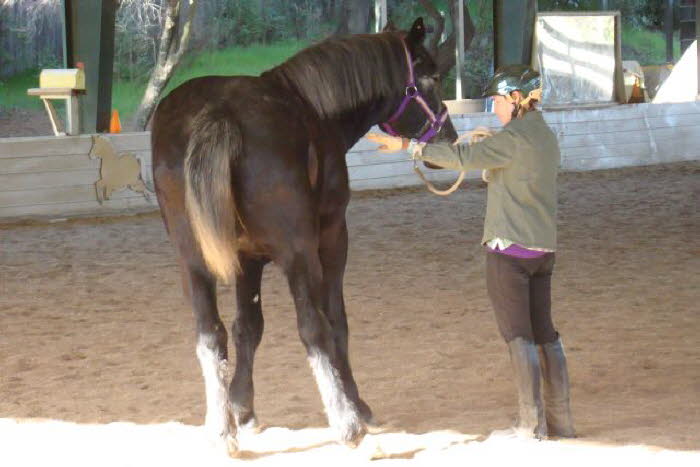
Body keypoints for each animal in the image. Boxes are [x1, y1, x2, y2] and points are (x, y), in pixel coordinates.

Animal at [150, 18, 456, 458]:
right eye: (431, 76)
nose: (448, 138)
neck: (313, 106)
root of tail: (219, 113)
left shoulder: (246, 259)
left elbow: (248, 327)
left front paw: (243, 408)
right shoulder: (331, 239)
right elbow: (335, 322)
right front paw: (358, 405)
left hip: (192, 261)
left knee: (210, 335)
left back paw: (222, 429)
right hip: (299, 254)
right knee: (313, 328)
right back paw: (348, 426)